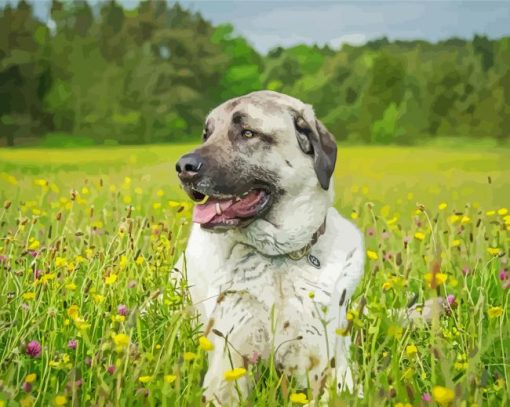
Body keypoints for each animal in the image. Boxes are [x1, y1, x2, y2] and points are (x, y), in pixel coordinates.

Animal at [173, 90, 364, 404]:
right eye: (206, 134)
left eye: (248, 133)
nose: (182, 168)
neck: (277, 258)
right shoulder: (231, 355)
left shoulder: (325, 360)